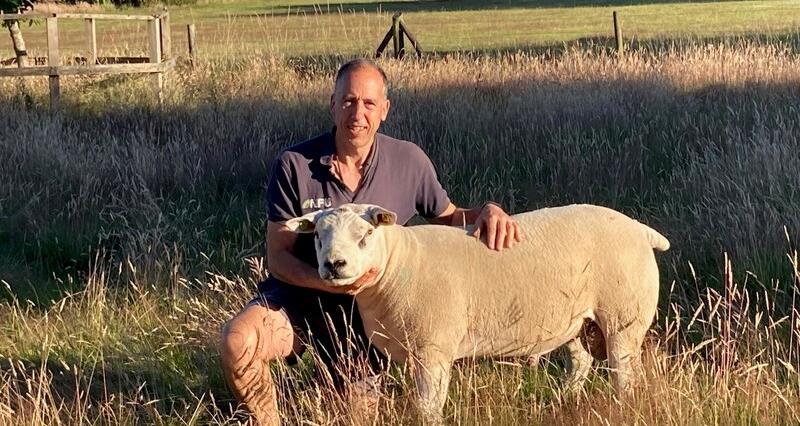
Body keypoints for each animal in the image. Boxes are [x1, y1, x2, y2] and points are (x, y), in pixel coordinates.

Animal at [286, 203, 670, 421]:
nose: (333, 264)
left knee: (624, 373)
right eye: (317, 237)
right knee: (581, 362)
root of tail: (640, 229)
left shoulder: (433, 350)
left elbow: (427, 408)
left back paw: (620, 406)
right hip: (570, 320)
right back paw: (563, 402)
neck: (400, 263)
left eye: (365, 234)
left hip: (624, 315)